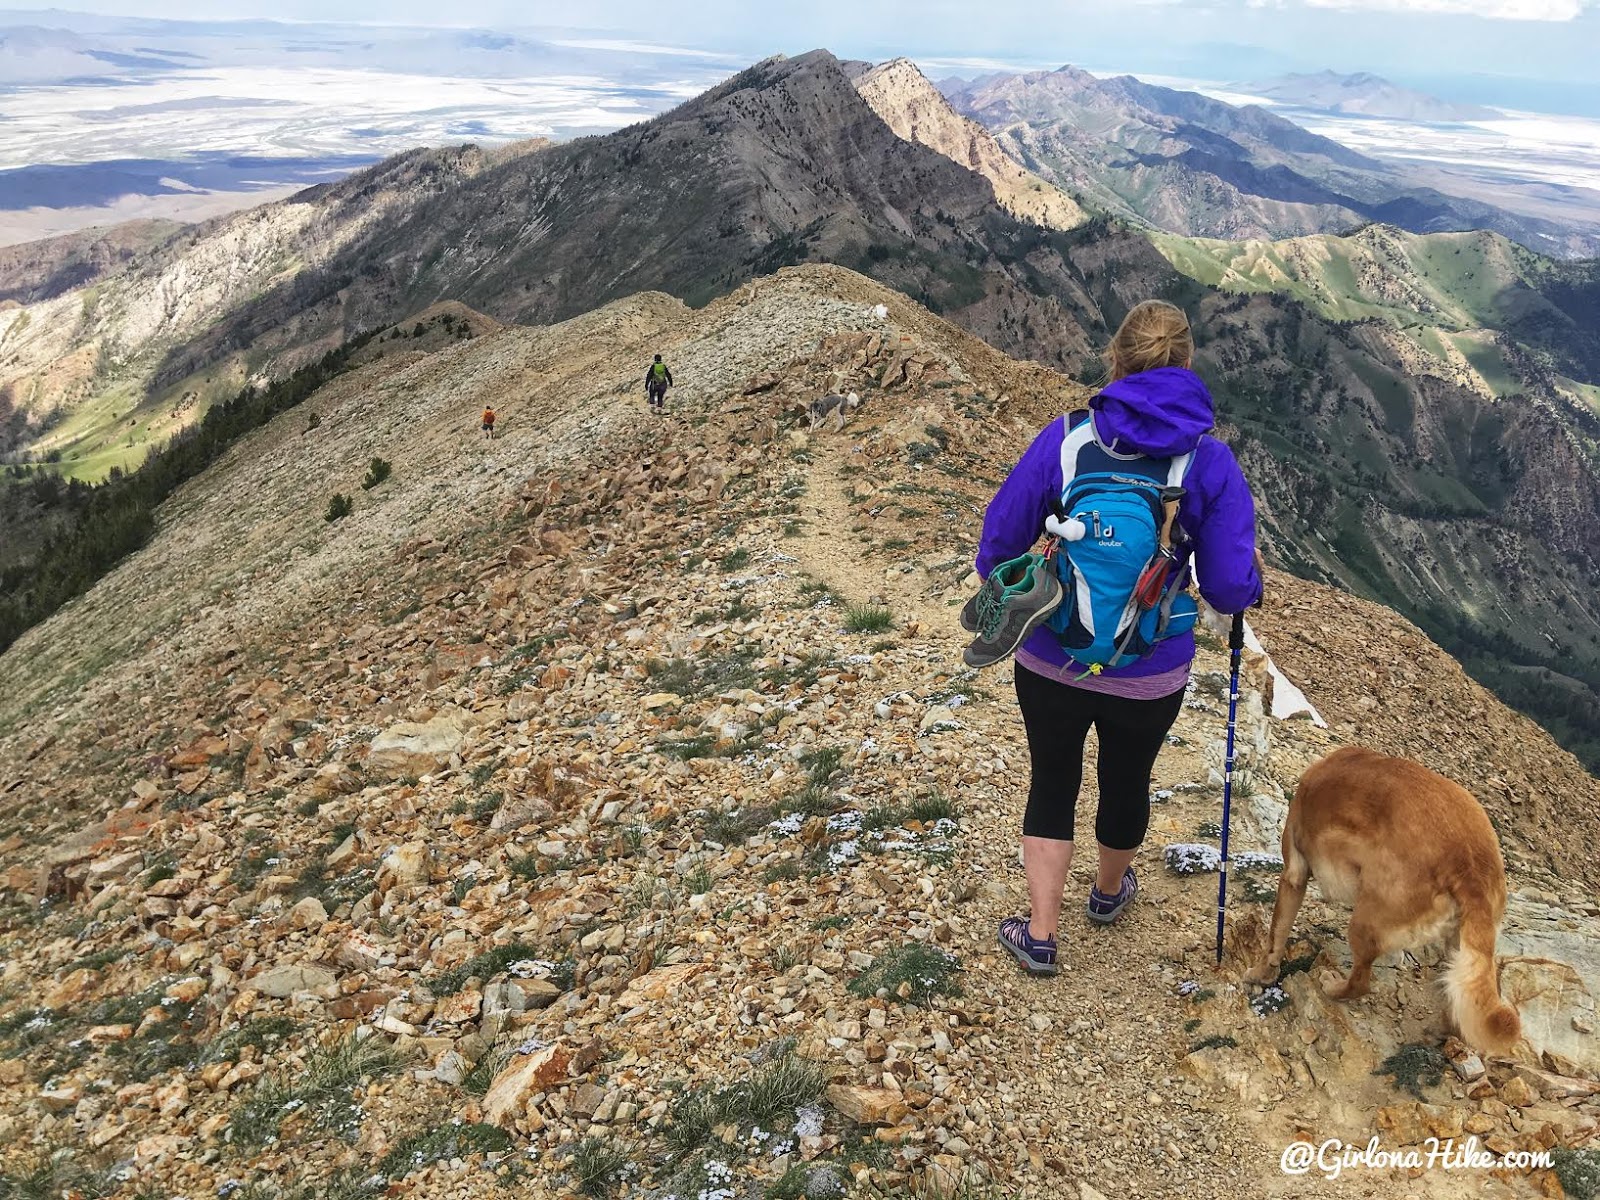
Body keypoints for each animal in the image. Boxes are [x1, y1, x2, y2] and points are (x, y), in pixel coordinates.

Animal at [1241, 748, 1516, 1056]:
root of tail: (1469, 868)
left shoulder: (1293, 875)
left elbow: (1275, 938)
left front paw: (1262, 974)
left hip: (1365, 923)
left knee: (1360, 982)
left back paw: (1333, 987)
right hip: (1455, 948)